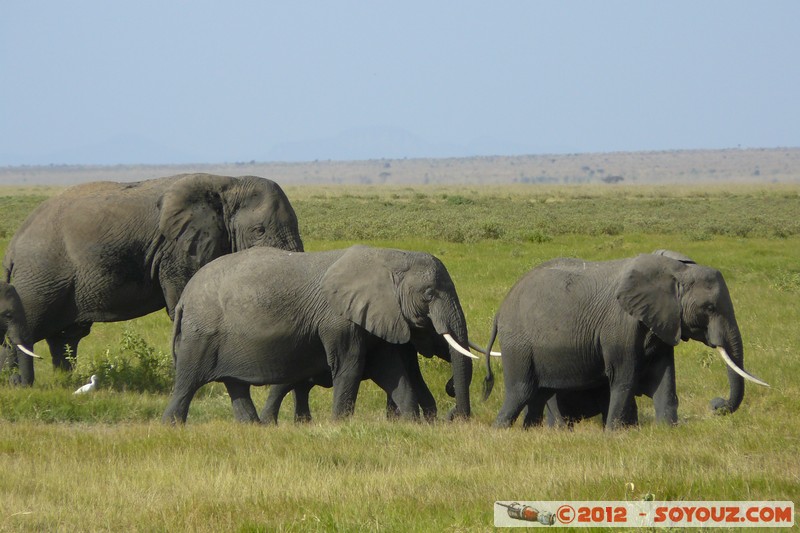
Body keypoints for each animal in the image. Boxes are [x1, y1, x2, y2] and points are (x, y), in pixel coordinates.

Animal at [0, 172, 304, 384]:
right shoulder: (178, 249)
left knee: (65, 337)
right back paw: (16, 383)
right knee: (28, 330)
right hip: (40, 279)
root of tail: (12, 249)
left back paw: (60, 380)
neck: (229, 184)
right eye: (259, 230)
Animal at [162, 245, 476, 424]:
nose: (454, 414)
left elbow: (390, 370)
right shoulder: (337, 320)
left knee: (235, 385)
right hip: (200, 335)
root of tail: (184, 298)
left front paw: (411, 423)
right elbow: (350, 366)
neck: (390, 257)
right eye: (429, 294)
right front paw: (340, 425)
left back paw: (253, 428)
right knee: (187, 383)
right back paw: (172, 426)